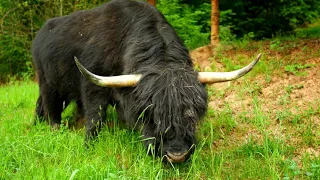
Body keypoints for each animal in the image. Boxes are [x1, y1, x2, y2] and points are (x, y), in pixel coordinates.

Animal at [32, 0, 262, 163]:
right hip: (47, 81)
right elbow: (96, 118)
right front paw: (88, 146)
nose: (176, 155)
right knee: (50, 106)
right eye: (151, 113)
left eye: (191, 113)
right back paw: (52, 130)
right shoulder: (92, 86)